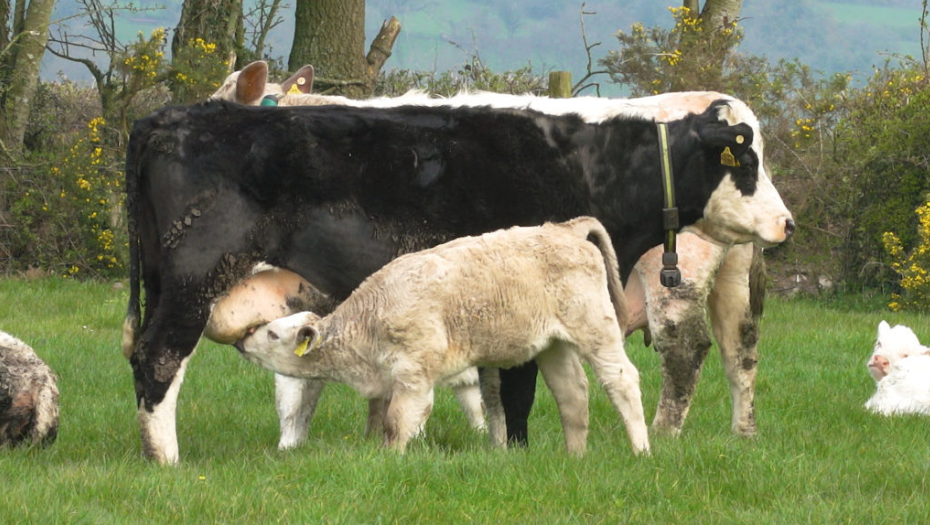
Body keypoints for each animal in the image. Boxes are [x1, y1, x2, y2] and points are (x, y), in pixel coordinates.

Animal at [235, 218, 649, 455]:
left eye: (272, 333)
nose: (241, 341)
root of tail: (562, 228)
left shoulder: (414, 375)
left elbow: (398, 423)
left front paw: (392, 460)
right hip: (554, 346)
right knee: (573, 394)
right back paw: (574, 456)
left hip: (596, 328)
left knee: (622, 381)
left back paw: (641, 451)